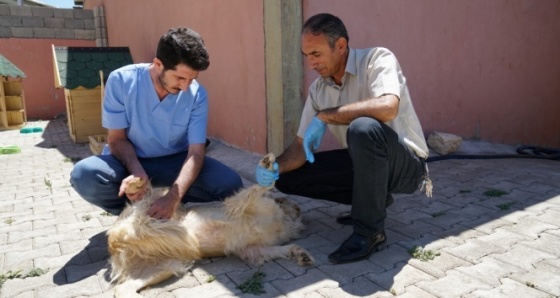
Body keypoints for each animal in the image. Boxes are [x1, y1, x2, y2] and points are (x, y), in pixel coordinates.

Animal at [107, 154, 312, 298]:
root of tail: (115, 243)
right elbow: (262, 187)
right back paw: (135, 184)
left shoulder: (254, 249)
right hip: (157, 205)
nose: (298, 208)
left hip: (166, 265)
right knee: (145, 197)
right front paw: (268, 166)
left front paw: (301, 254)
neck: (282, 220)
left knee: (122, 289)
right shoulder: (242, 205)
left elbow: (285, 248)